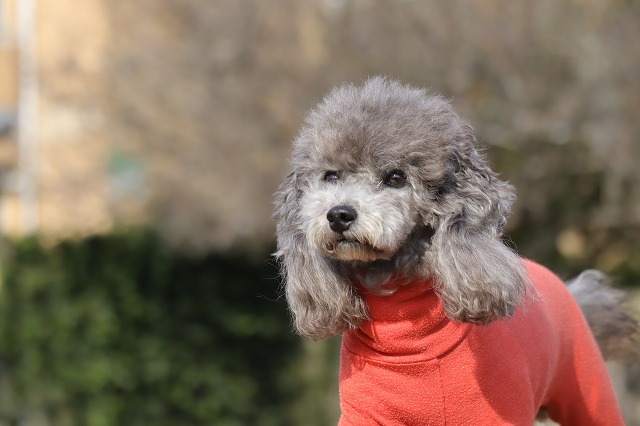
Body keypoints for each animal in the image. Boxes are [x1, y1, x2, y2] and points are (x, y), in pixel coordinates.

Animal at [273, 77, 638, 425]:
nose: (339, 215)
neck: (406, 333)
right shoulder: (368, 412)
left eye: (396, 178)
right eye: (331, 176)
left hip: (588, 391)